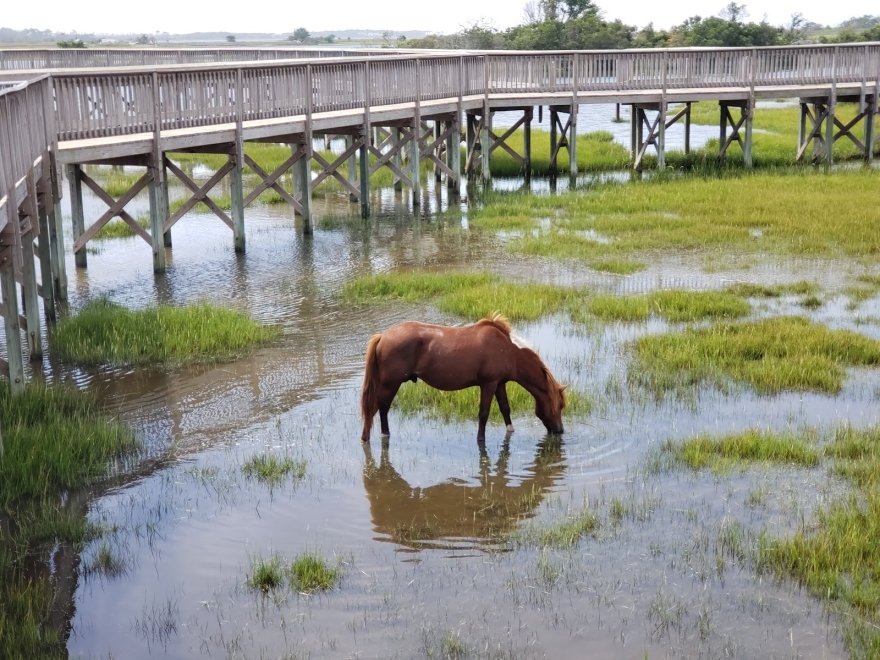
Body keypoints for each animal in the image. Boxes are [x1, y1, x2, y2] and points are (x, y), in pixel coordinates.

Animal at [360, 314, 568, 444]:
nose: (560, 431)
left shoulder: (500, 383)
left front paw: (510, 432)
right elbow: (483, 414)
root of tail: (383, 336)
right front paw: (480, 440)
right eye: (559, 406)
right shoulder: (488, 384)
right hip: (390, 384)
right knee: (380, 408)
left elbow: (505, 408)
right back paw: (383, 435)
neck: (509, 350)